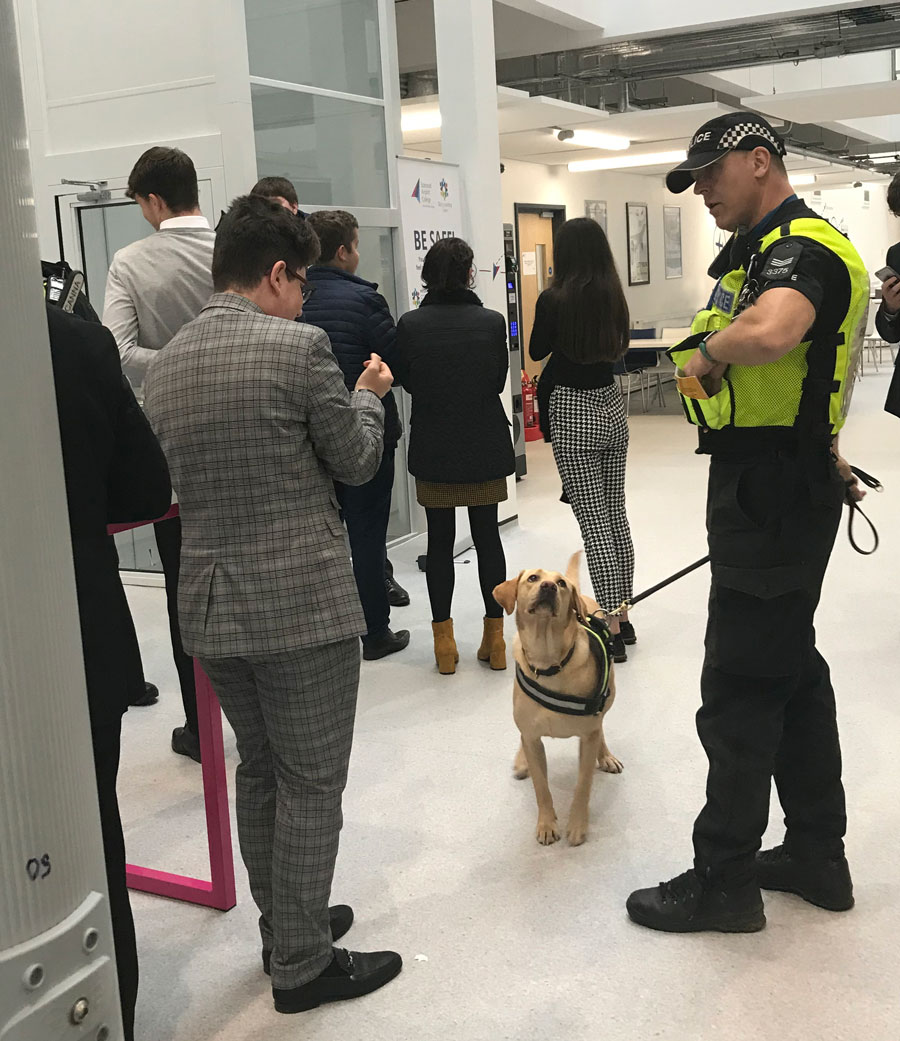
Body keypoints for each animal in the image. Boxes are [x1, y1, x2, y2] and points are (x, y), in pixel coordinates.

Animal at [491, 553, 615, 845]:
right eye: (533, 578)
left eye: (560, 583)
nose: (548, 586)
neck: (548, 661)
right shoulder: (532, 737)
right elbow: (541, 787)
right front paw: (547, 824)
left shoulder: (587, 736)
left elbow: (583, 785)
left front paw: (577, 825)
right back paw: (521, 760)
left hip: (608, 697)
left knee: (602, 725)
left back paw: (606, 755)